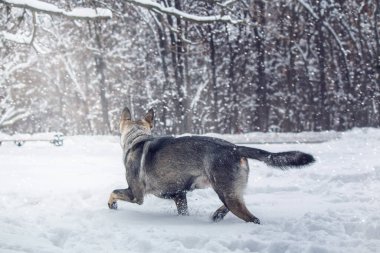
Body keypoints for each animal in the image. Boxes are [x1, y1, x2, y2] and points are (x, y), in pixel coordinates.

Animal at [108, 107, 316, 223]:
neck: (137, 138)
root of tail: (235, 148)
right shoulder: (179, 195)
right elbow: (183, 211)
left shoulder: (136, 195)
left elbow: (113, 192)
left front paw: (112, 205)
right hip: (230, 192)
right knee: (234, 204)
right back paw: (217, 215)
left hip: (226, 192)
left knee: (252, 218)